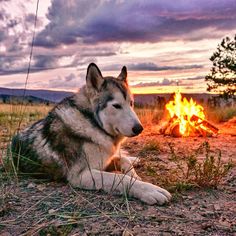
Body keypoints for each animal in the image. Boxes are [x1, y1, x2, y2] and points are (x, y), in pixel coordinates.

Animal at [11, 63, 171, 205]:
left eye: (131, 103)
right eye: (116, 105)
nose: (139, 128)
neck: (93, 122)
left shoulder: (105, 160)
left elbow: (124, 161)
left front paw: (135, 174)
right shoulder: (82, 175)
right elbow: (120, 178)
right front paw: (148, 190)